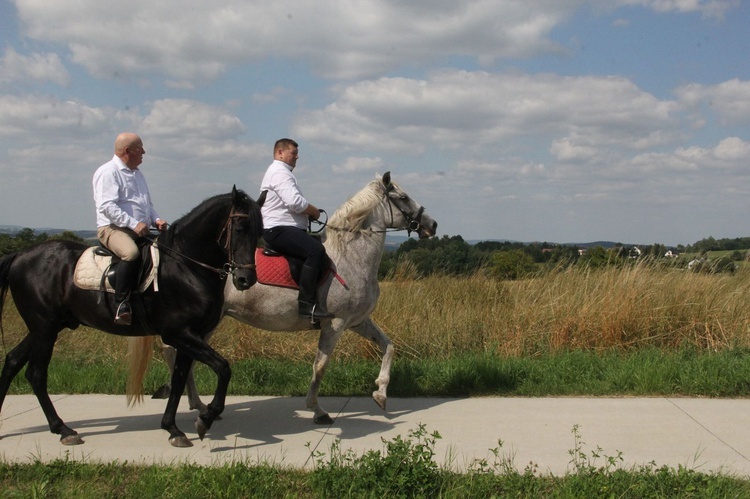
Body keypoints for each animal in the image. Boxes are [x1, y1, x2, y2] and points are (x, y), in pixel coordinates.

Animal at [0, 188, 266, 450]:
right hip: (44, 328)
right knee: (36, 373)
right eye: (240, 228)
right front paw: (205, 419)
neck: (186, 266)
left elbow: (180, 379)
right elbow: (222, 368)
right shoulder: (179, 334)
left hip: (46, 328)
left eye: (260, 231)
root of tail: (20, 255)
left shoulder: (192, 336)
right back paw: (63, 430)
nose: (246, 280)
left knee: (13, 361)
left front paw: (173, 429)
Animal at [138, 173, 438, 426]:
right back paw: (195, 404)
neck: (350, 256)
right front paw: (317, 410)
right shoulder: (336, 323)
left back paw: (197, 404)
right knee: (174, 351)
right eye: (403, 197)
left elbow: (388, 347)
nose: (432, 225)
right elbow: (320, 366)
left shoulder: (357, 321)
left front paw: (381, 394)